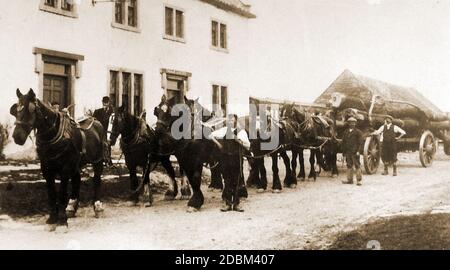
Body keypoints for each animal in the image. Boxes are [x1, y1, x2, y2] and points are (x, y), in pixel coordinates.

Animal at [9, 89, 104, 230]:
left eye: (30, 110)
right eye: (15, 111)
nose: (17, 137)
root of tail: (94, 119)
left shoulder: (65, 168)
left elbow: (62, 194)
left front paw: (62, 221)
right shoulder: (46, 168)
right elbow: (51, 193)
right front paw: (52, 218)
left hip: (98, 160)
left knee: (97, 180)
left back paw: (97, 207)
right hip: (76, 163)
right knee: (77, 179)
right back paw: (72, 207)